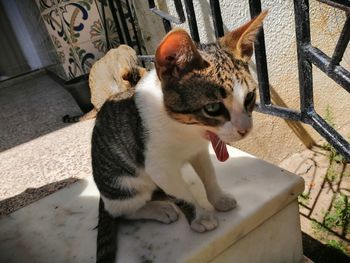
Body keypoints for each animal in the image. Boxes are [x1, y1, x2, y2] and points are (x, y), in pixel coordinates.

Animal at [91, 10, 266, 263]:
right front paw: (199, 216)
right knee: (122, 211)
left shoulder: (199, 150)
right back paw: (159, 209)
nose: (245, 129)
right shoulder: (159, 166)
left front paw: (218, 198)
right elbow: (182, 193)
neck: (187, 129)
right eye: (213, 108)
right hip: (124, 184)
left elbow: (209, 175)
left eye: (250, 97)